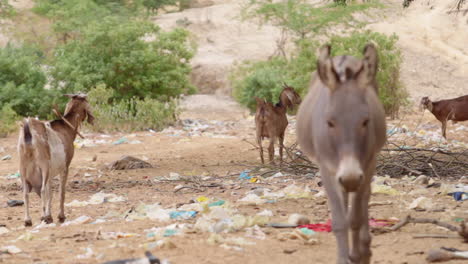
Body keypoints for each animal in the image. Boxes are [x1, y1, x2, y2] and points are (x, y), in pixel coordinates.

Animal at [17, 93, 94, 227]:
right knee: (42, 190)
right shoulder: (65, 166)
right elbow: (60, 192)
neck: (66, 128)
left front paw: (50, 215)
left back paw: (28, 220)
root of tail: (28, 130)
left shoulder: (51, 172)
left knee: (25, 193)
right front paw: (60, 216)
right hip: (43, 165)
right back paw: (43, 217)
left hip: (23, 168)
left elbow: (50, 193)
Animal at [298, 43, 386, 264]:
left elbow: (355, 217)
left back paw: (365, 247)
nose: (350, 177)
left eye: (366, 121)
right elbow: (339, 221)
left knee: (364, 199)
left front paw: (357, 255)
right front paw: (344, 257)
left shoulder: (368, 164)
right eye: (330, 122)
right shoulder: (326, 168)